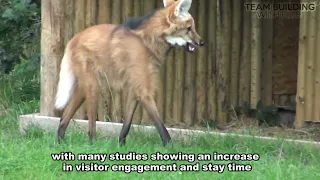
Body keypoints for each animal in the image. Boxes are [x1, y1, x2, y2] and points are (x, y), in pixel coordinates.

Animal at [54, 0, 205, 146]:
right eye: (189, 28)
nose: (202, 42)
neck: (149, 41)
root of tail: (73, 39)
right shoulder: (144, 91)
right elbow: (160, 125)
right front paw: (170, 147)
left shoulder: (135, 88)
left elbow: (127, 123)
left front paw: (121, 145)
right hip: (94, 87)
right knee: (90, 125)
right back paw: (92, 145)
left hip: (85, 86)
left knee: (64, 117)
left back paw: (61, 143)